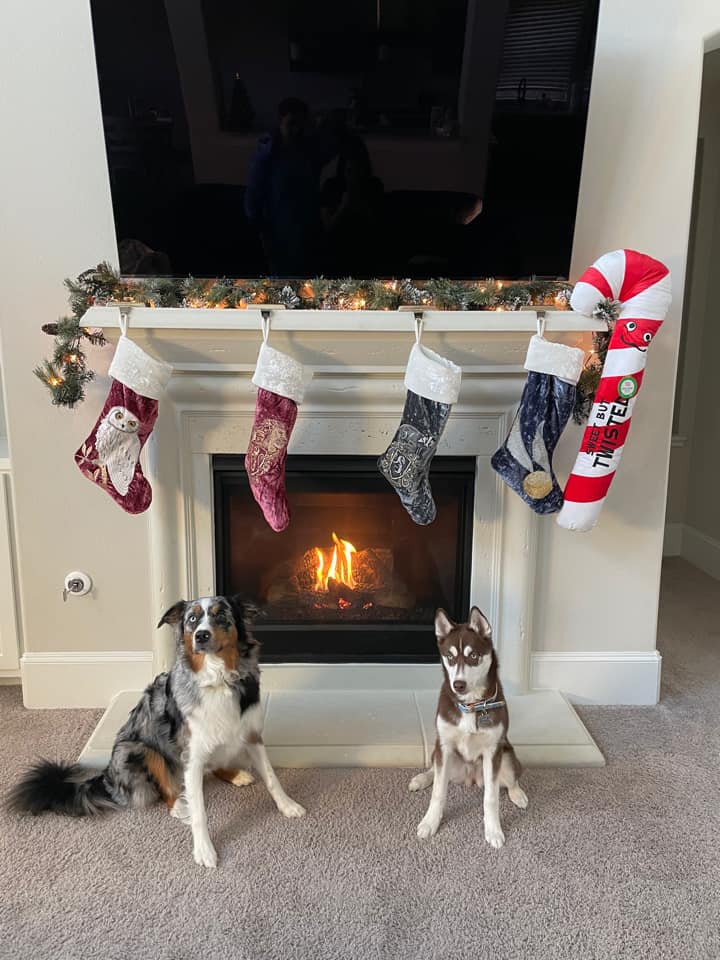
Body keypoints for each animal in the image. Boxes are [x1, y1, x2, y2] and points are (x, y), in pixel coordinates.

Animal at [9, 596, 306, 868]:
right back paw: (181, 806)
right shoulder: (191, 752)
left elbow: (271, 777)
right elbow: (200, 811)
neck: (219, 679)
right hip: (139, 749)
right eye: (192, 619)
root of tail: (108, 777)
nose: (201, 636)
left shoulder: (252, 734)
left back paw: (235, 774)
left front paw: (288, 805)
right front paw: (204, 850)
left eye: (221, 615)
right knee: (168, 791)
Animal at [410, 608, 528, 848]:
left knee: (512, 778)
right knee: (435, 772)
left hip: (506, 756)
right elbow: (438, 792)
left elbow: (491, 798)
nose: (459, 685)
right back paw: (421, 779)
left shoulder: (493, 751)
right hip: (443, 755)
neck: (472, 705)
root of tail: (470, 778)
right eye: (450, 656)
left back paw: (518, 794)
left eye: (473, 656)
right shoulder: (444, 745)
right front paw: (430, 822)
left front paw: (493, 830)